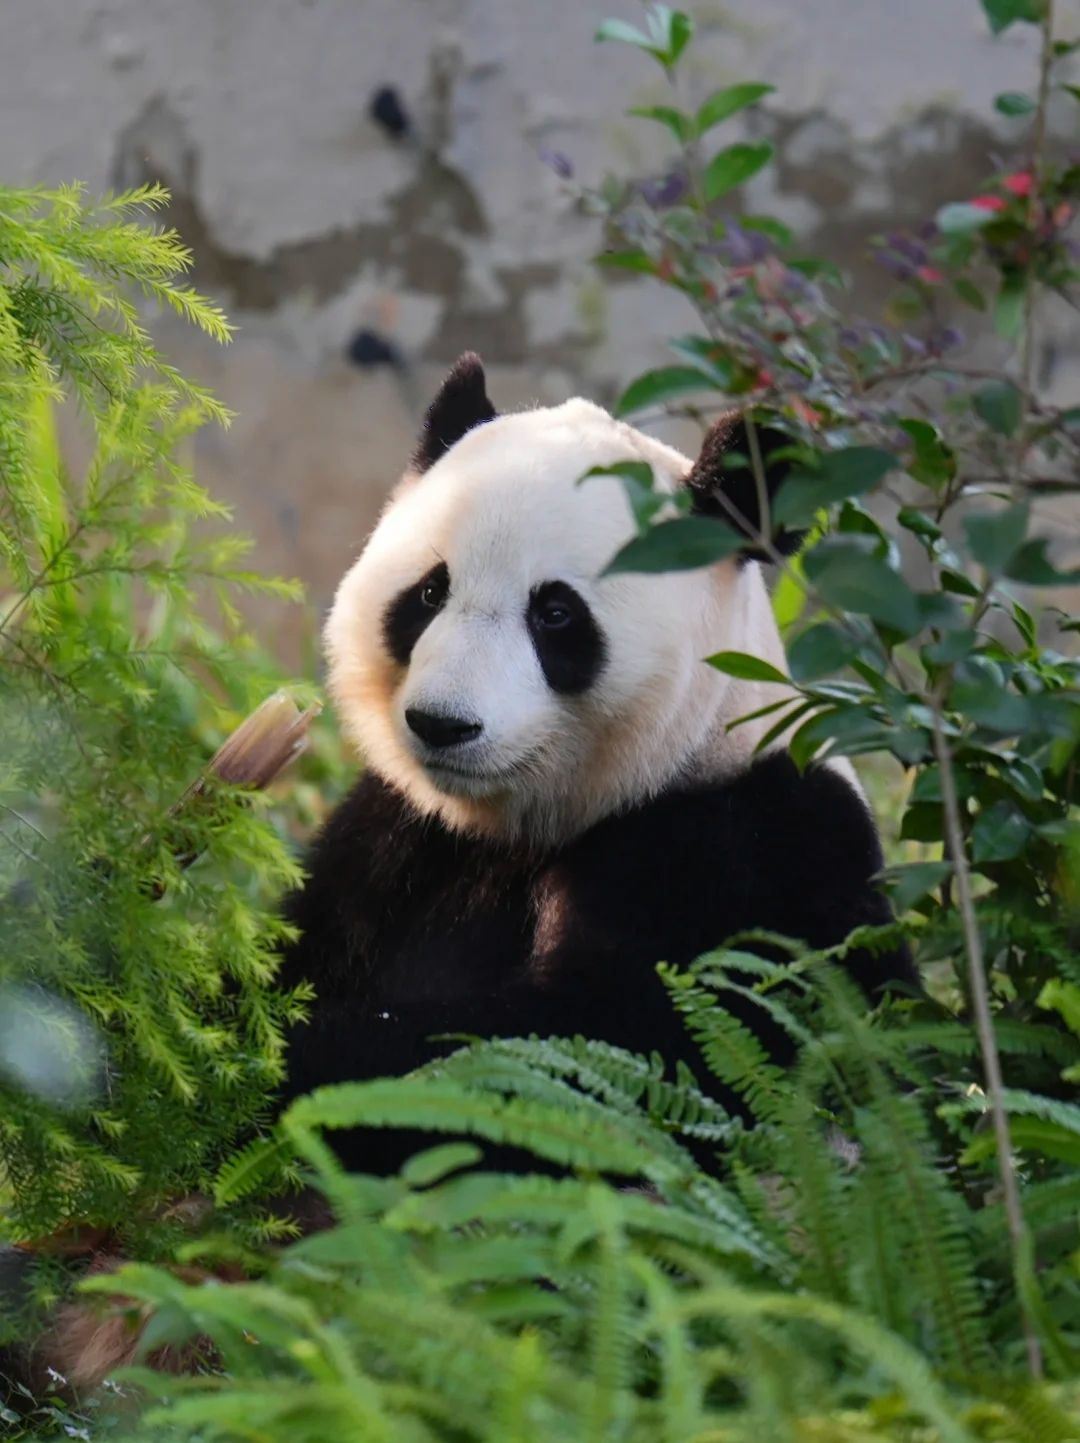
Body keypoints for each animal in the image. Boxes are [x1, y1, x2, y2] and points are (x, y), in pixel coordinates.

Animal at [276, 351, 915, 1173]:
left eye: (555, 614)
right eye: (428, 592)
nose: (442, 724)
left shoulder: (745, 852)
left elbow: (602, 1042)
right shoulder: (395, 836)